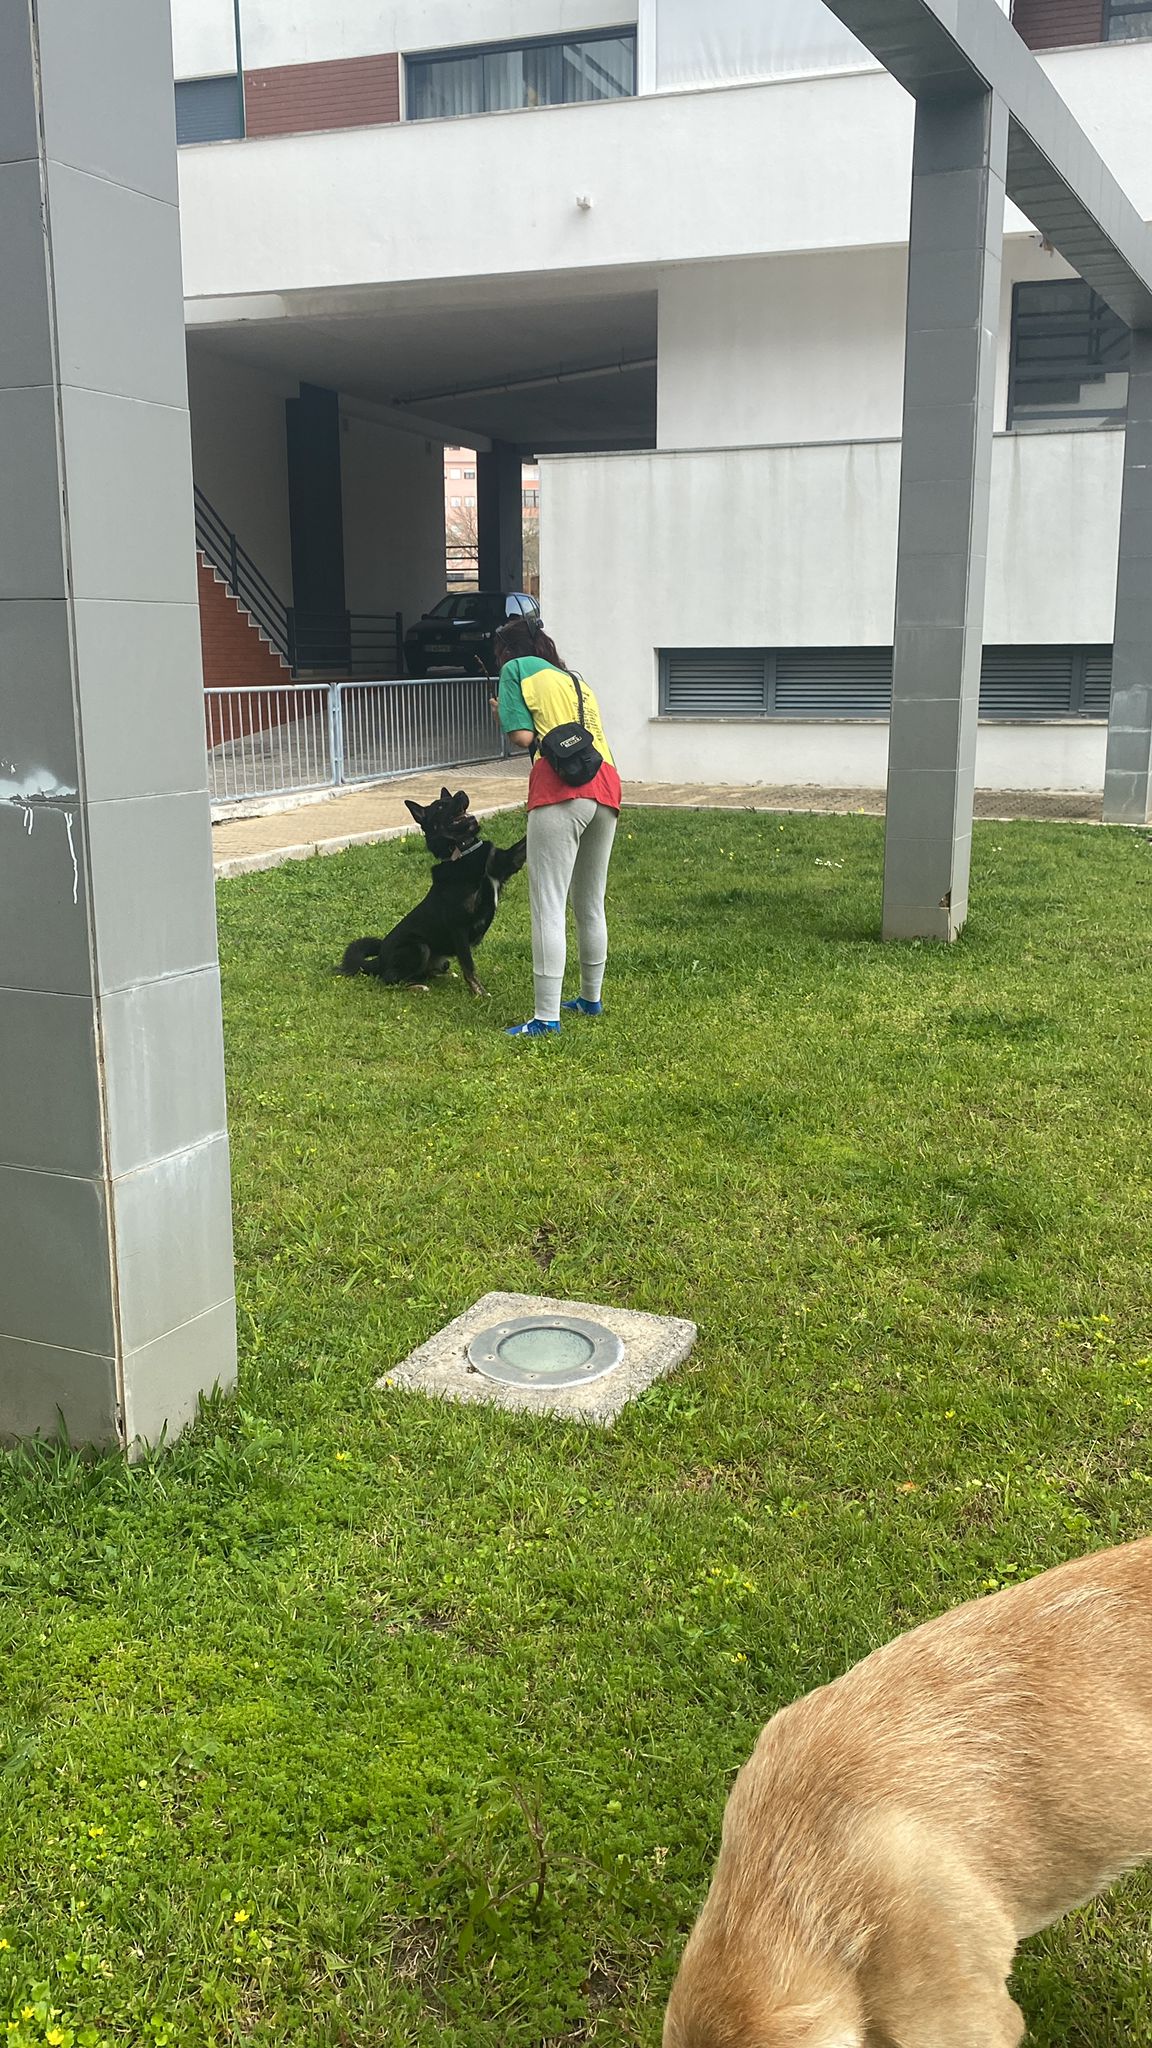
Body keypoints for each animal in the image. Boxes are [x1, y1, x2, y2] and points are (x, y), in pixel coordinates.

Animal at [334, 786, 528, 995]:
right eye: (441, 806)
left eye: (451, 798)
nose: (462, 792)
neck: (462, 852)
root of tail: (378, 961)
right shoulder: (459, 927)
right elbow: (469, 966)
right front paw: (479, 993)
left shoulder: (508, 863)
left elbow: (524, 843)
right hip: (418, 947)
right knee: (390, 979)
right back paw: (417, 987)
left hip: (441, 961)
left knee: (425, 973)